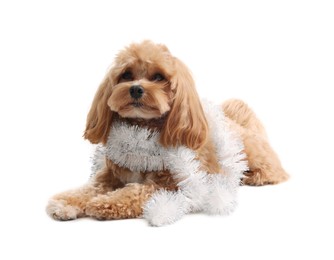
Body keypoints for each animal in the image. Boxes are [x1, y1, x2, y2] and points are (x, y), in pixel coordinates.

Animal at [45, 40, 288, 221]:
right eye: (126, 74)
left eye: (158, 77)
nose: (136, 89)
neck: (141, 132)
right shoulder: (108, 176)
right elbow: (88, 189)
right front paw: (67, 202)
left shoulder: (170, 184)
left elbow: (135, 191)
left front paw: (105, 202)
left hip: (252, 155)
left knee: (274, 170)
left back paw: (254, 177)